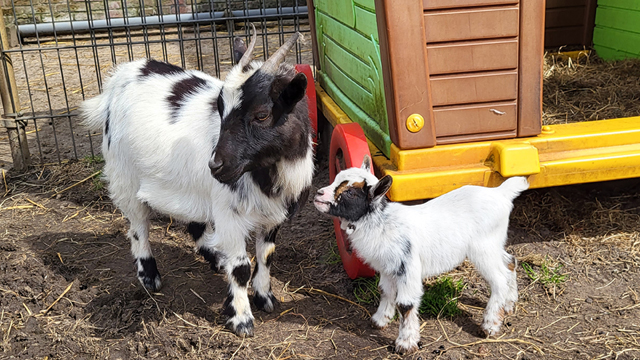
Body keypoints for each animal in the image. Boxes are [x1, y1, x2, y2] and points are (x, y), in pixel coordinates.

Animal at [312, 156, 528, 352]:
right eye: (336, 177)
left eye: (350, 192)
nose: (318, 194)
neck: (381, 223)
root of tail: (500, 193)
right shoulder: (387, 267)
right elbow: (385, 291)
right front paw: (380, 320)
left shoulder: (407, 267)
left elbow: (405, 304)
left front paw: (406, 343)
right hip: (494, 244)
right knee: (510, 262)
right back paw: (509, 304)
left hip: (483, 248)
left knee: (499, 278)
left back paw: (489, 325)